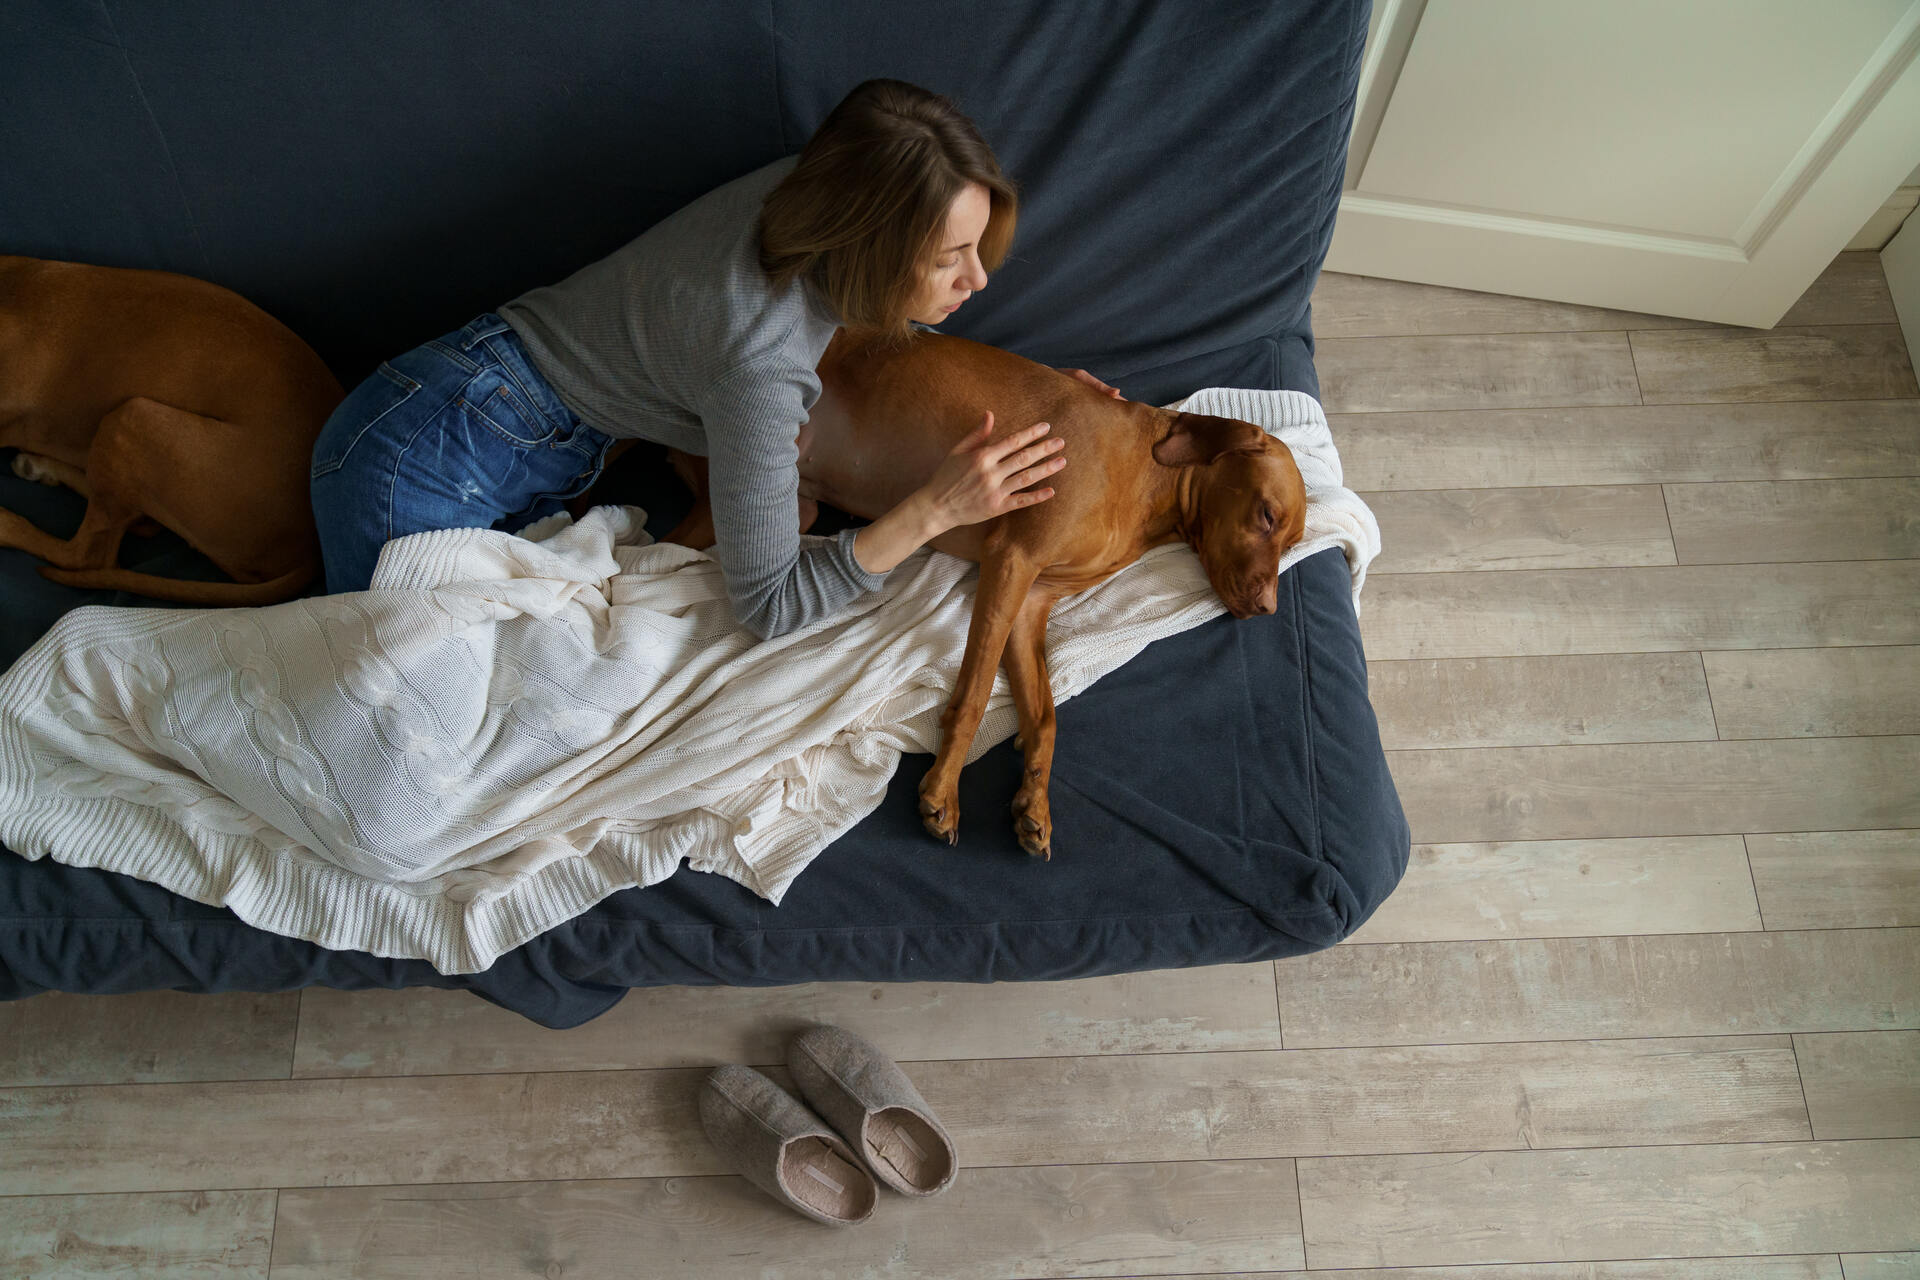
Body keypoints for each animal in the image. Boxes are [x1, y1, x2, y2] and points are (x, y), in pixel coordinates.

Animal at [0, 257, 341, 610]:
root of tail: (312, 549)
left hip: (132, 419)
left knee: (90, 554)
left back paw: (7, 523)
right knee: (139, 522)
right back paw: (41, 468)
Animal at [660, 328, 1305, 859]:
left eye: (1293, 539)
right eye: (1266, 515)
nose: (1268, 609)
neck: (1148, 484)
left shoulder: (1030, 602)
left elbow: (1045, 719)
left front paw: (1034, 805)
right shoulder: (1011, 561)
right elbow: (970, 696)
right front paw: (943, 791)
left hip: (790, 509)